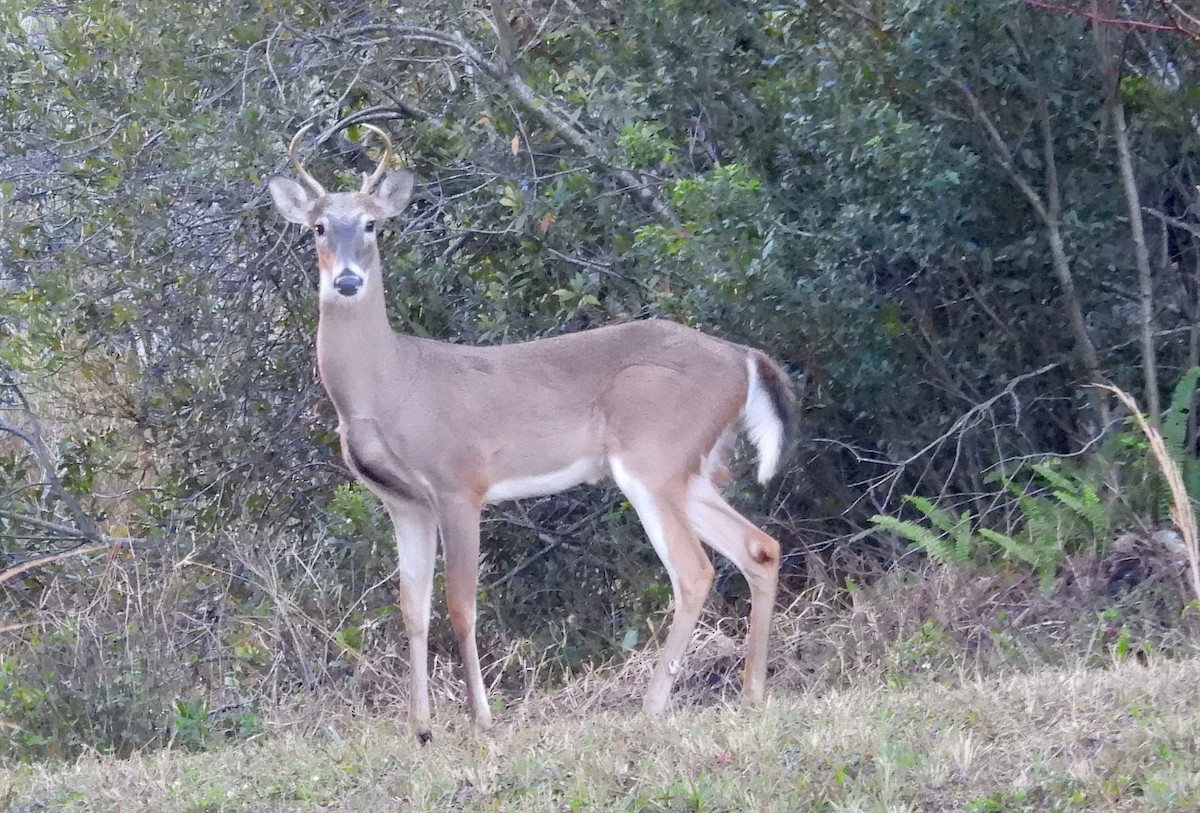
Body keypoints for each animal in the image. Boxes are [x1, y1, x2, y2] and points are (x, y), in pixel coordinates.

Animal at [268, 123, 793, 743]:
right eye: (318, 226)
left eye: (372, 224)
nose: (347, 280)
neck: (390, 385)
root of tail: (743, 358)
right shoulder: (404, 501)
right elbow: (411, 607)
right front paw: (420, 728)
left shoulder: (459, 482)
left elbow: (460, 603)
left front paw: (481, 718)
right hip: (687, 469)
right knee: (758, 546)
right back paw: (752, 692)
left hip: (653, 456)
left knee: (695, 571)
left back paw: (653, 705)